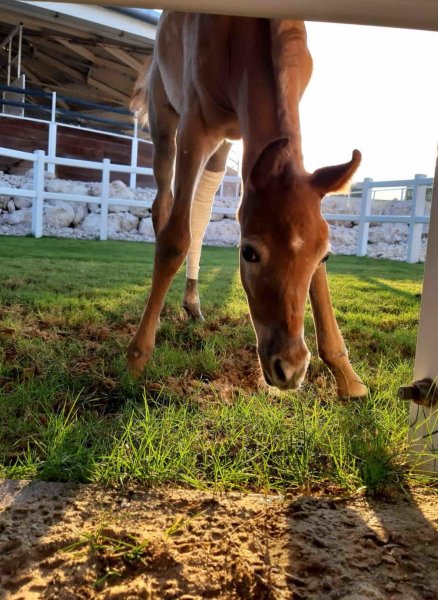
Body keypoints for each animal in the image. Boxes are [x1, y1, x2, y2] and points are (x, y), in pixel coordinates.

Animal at [128, 11, 368, 396]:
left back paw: (193, 305)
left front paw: (346, 374)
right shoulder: (194, 128)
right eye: (249, 253)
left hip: (224, 143)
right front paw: (137, 356)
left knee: (201, 213)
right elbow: (174, 239)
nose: (290, 368)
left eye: (324, 256)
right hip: (165, 119)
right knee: (164, 206)